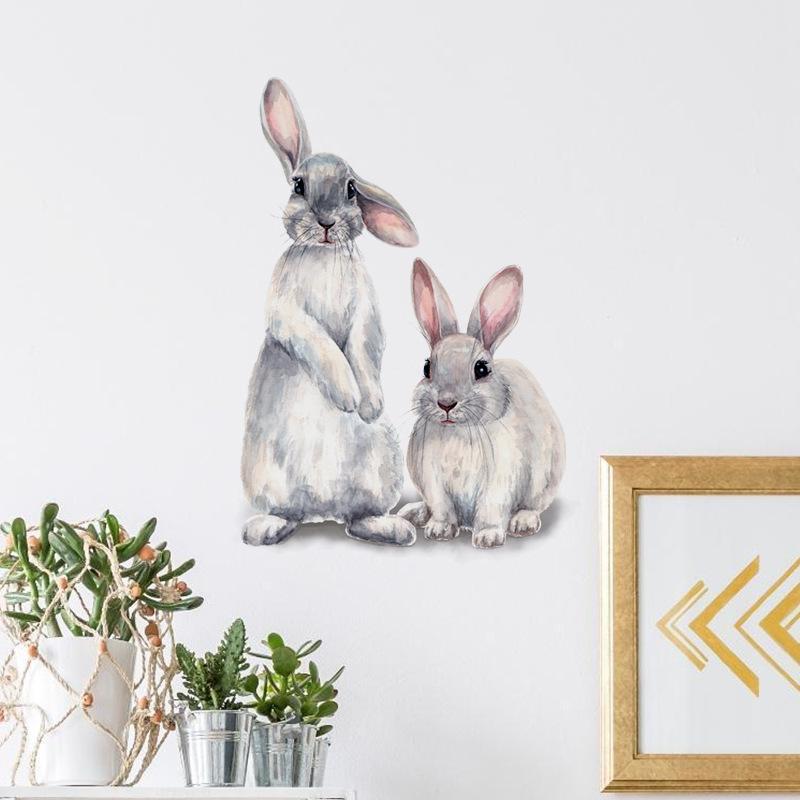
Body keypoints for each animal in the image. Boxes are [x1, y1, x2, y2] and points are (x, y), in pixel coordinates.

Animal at [242, 78, 419, 547]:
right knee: (288, 512)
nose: (325, 222)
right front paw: (346, 398)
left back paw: (394, 528)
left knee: (357, 519)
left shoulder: (366, 312)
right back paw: (264, 529)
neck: (323, 255)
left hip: (380, 472)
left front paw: (368, 405)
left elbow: (362, 346)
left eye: (351, 189)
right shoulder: (289, 312)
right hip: (266, 477)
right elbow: (320, 344)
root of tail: (322, 513)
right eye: (298, 185)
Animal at [398, 259, 565, 549]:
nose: (446, 403)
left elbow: (491, 509)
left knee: (533, 505)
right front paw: (440, 530)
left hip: (545, 478)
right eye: (427, 367)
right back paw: (413, 513)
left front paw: (487, 537)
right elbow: (442, 508)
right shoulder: (433, 480)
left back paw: (523, 522)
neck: (458, 431)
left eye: (482, 368)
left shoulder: (501, 480)